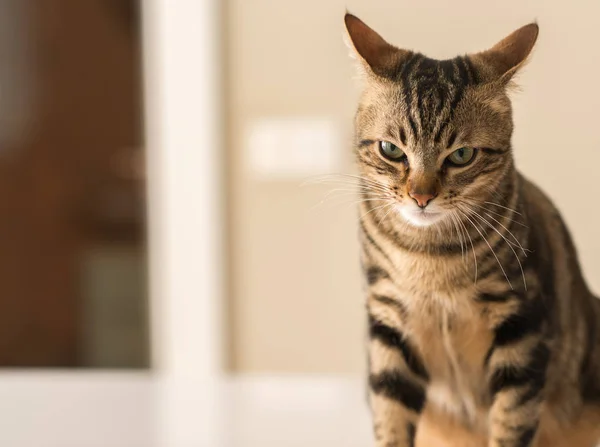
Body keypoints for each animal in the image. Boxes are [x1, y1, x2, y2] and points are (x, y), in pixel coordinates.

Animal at [344, 13, 600, 447]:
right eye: (391, 150)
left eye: (461, 155)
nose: (421, 196)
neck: (428, 258)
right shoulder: (388, 323)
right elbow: (390, 417)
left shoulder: (522, 327)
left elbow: (511, 421)